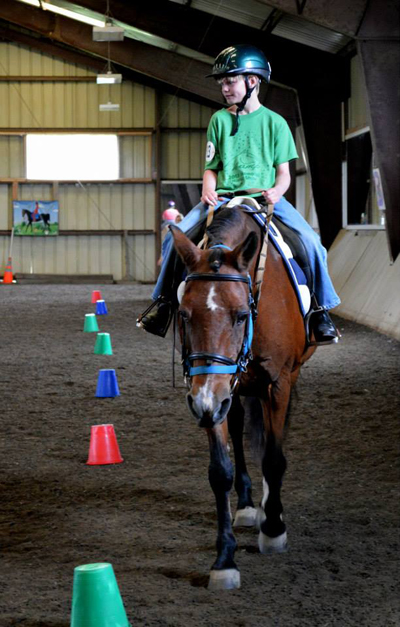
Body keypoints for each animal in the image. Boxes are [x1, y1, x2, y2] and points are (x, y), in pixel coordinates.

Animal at [170, 202, 316, 592]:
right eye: (184, 314)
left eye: (239, 316)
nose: (205, 403)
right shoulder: (210, 392)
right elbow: (220, 471)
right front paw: (224, 559)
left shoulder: (277, 383)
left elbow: (273, 457)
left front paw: (274, 528)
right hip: (228, 392)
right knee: (238, 428)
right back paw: (250, 504)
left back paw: (268, 507)